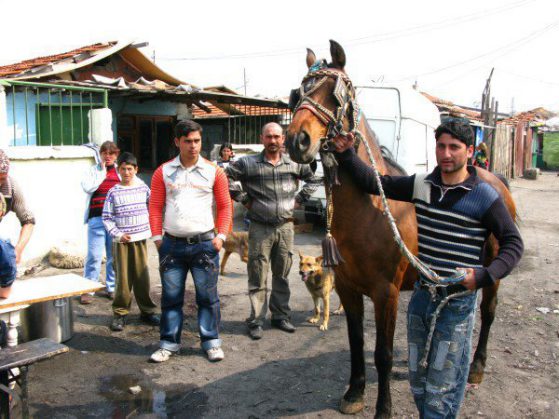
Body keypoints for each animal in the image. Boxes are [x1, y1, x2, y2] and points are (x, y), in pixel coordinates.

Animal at [286, 41, 520, 418]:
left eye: (336, 94)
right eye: (299, 93)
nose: (298, 140)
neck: (372, 208)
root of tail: (493, 179)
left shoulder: (387, 293)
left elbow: (381, 353)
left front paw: (383, 408)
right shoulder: (348, 288)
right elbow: (356, 342)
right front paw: (354, 393)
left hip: (490, 273)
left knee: (487, 313)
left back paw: (477, 368)